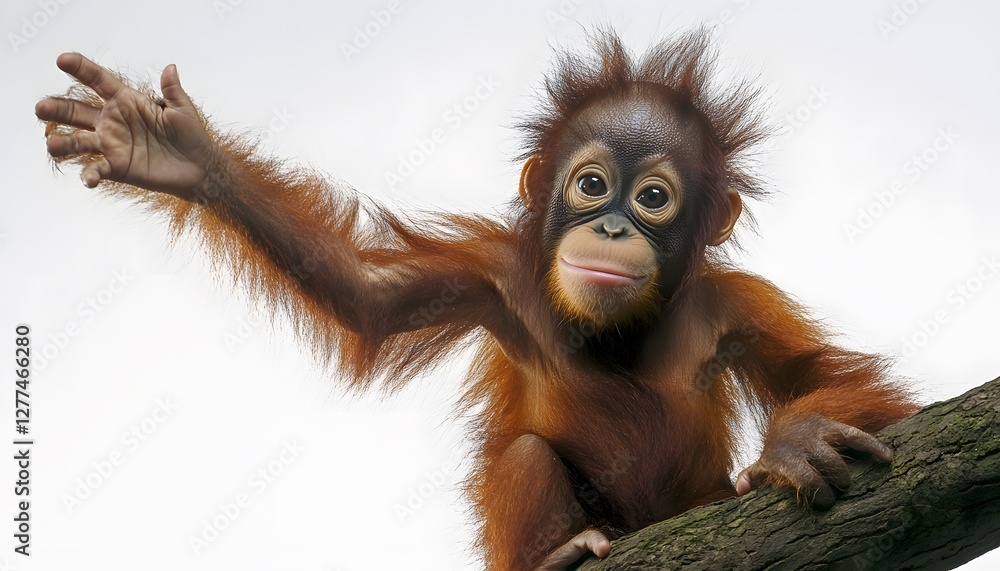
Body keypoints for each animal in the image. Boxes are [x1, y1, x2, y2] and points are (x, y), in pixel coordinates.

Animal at [35, 29, 917, 570]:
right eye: (591, 184)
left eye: (655, 197)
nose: (615, 225)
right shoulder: (496, 276)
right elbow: (369, 293)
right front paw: (170, 149)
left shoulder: (733, 302)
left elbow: (827, 373)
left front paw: (799, 440)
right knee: (524, 451)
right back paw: (554, 554)